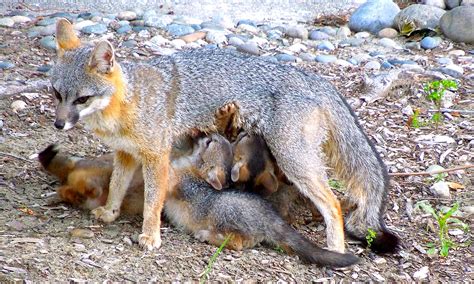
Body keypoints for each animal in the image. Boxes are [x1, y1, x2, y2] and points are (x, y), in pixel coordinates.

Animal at [51, 18, 400, 253]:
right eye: (56, 94)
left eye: (81, 99)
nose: (58, 125)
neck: (129, 102)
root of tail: (315, 79)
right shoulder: (126, 153)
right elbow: (116, 186)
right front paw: (110, 212)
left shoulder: (156, 157)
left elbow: (152, 201)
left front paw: (151, 236)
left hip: (293, 160)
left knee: (334, 204)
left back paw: (336, 248)